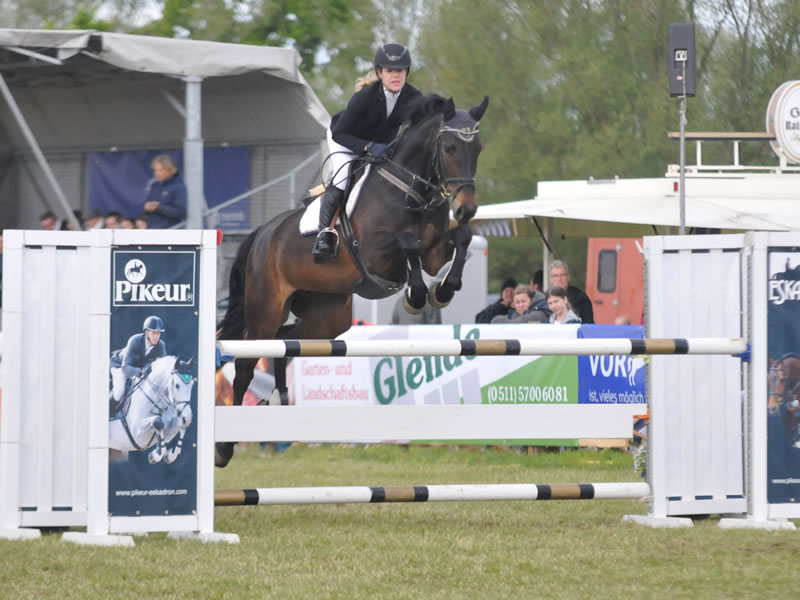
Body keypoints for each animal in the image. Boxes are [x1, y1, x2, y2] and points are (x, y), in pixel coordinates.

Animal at [212, 95, 488, 468]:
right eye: (448, 147)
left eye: (478, 149)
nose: (466, 208)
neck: (411, 193)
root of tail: (261, 234)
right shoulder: (375, 253)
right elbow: (408, 243)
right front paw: (416, 296)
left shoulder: (435, 252)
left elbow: (461, 238)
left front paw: (443, 290)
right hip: (264, 312)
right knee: (245, 367)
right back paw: (224, 449)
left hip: (327, 317)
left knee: (287, 342)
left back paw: (278, 403)